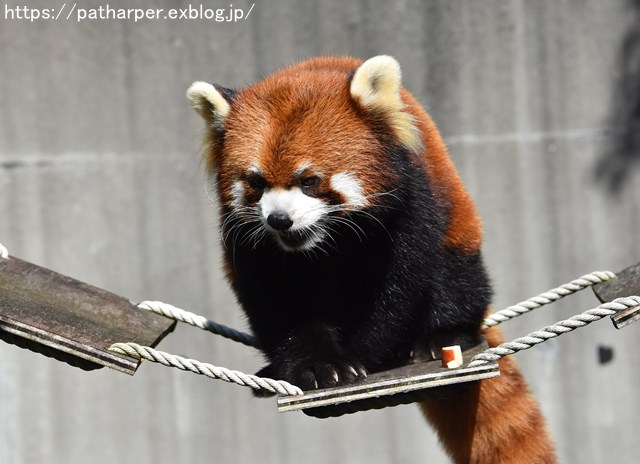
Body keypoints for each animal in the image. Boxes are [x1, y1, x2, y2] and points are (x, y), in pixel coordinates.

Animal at [186, 56, 556, 462]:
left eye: (309, 181)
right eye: (256, 182)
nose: (279, 219)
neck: (324, 244)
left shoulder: (409, 210)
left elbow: (396, 293)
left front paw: (361, 356)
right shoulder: (251, 246)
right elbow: (278, 307)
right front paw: (318, 366)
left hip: (457, 227)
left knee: (458, 280)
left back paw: (442, 335)